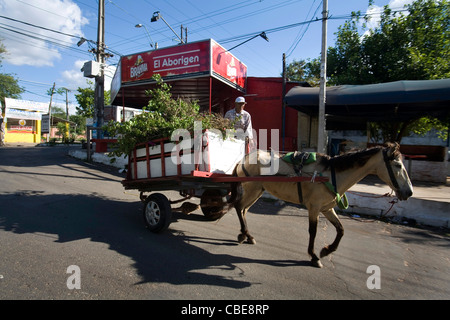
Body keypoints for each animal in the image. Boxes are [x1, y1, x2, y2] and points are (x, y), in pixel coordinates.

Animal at [230, 142, 414, 268]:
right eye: (398, 165)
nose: (409, 192)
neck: (331, 175)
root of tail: (244, 159)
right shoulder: (314, 207)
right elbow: (313, 231)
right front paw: (314, 256)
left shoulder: (327, 208)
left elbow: (340, 229)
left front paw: (326, 250)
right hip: (252, 189)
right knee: (239, 207)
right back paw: (244, 234)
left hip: (258, 190)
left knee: (243, 210)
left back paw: (247, 235)